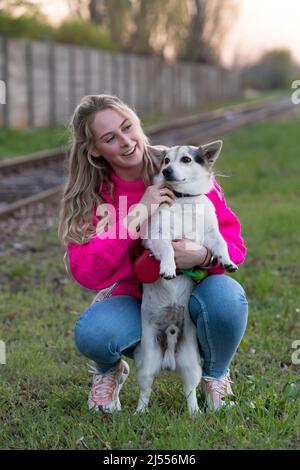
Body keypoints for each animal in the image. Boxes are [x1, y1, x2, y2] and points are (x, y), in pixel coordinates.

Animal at [134, 140, 237, 414]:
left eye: (186, 160)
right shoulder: (158, 237)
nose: (167, 171)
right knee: (145, 391)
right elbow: (168, 249)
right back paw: (139, 412)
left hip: (192, 366)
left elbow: (221, 242)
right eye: (166, 160)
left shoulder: (210, 235)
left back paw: (195, 413)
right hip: (146, 365)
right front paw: (169, 267)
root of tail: (169, 357)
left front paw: (227, 261)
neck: (184, 201)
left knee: (189, 391)